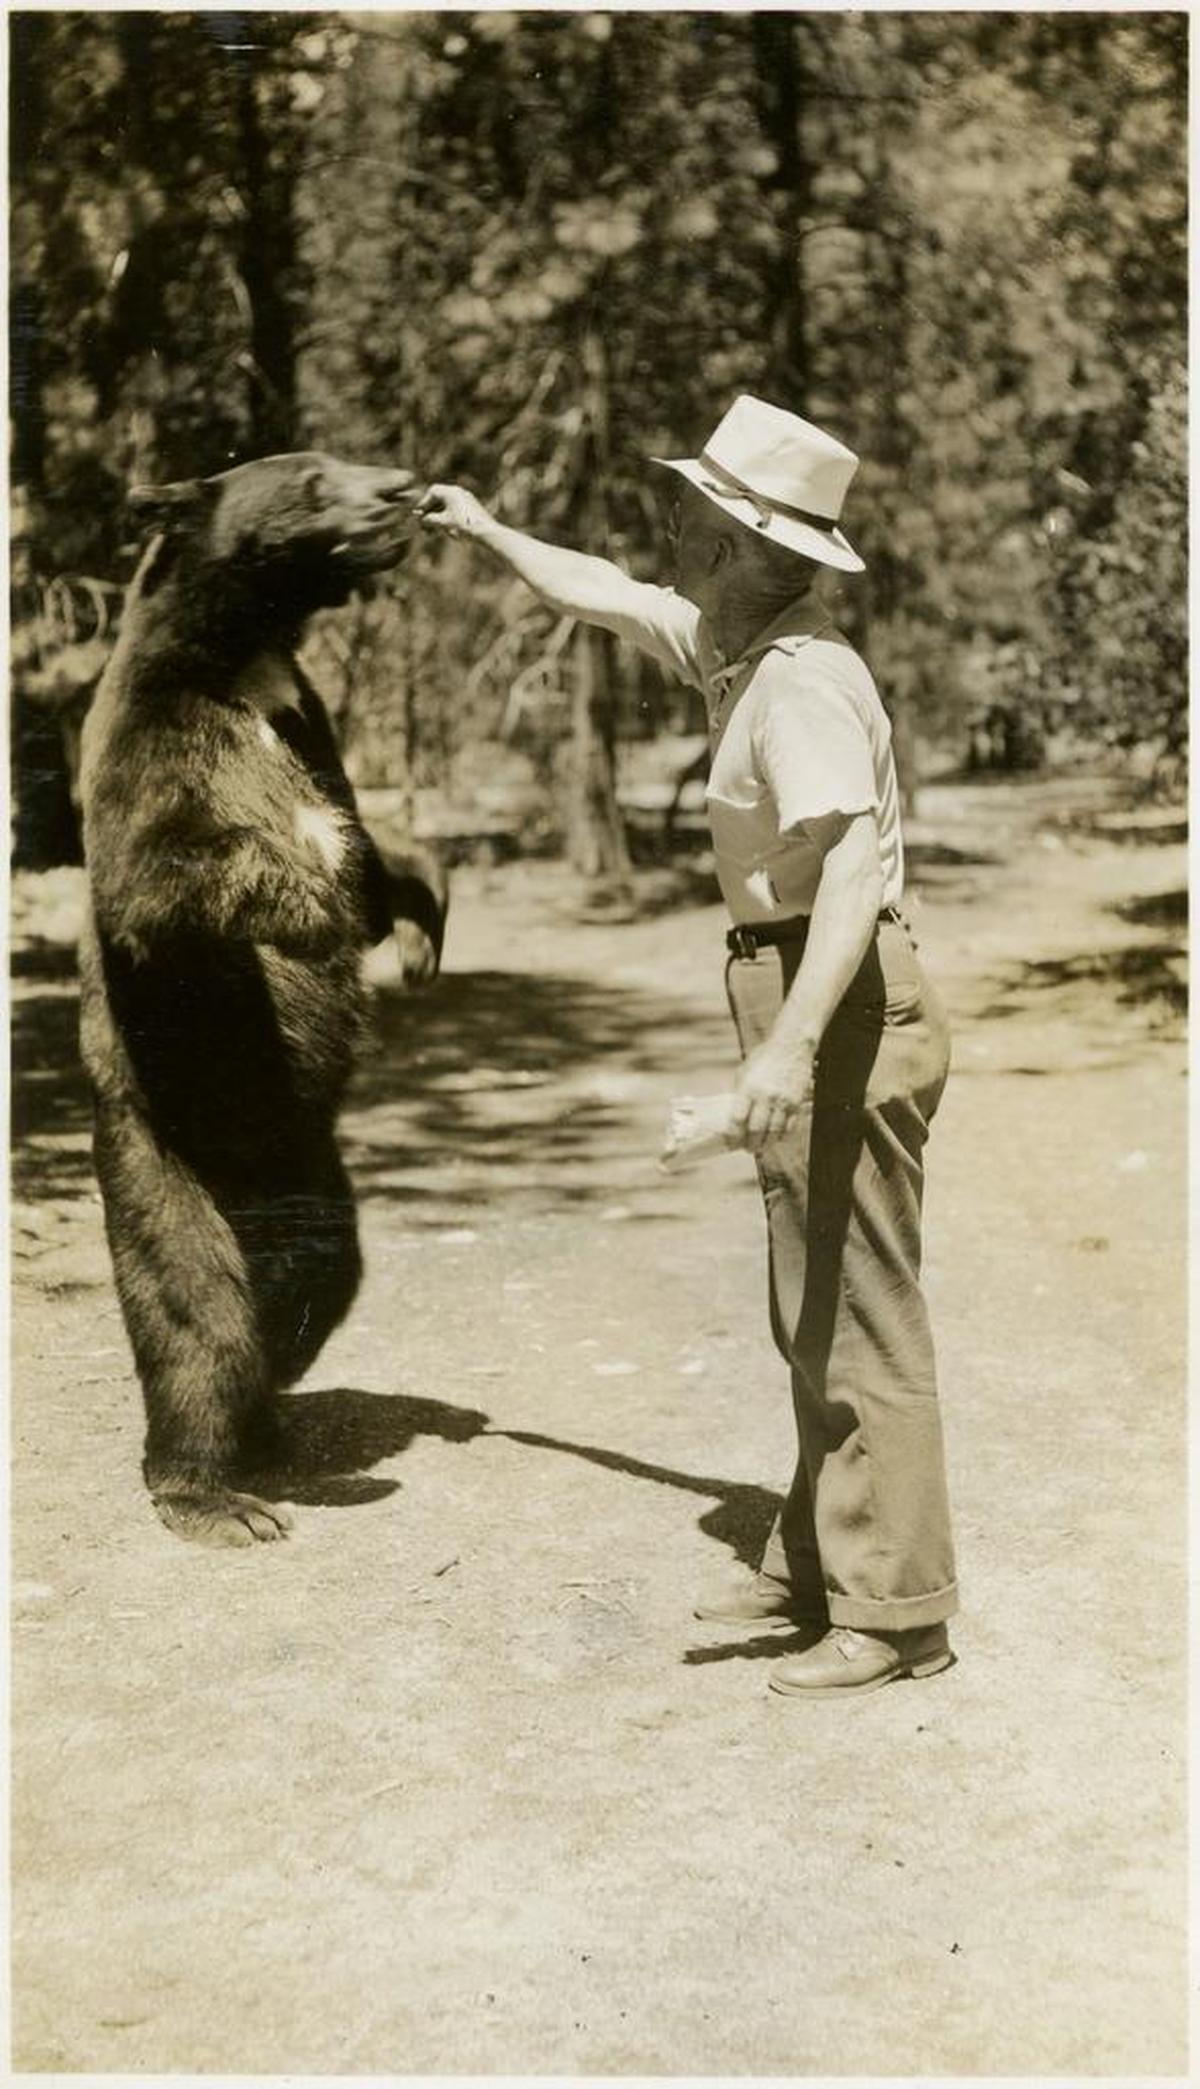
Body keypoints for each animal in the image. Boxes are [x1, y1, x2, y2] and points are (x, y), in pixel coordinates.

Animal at [78, 450, 440, 1546]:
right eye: (316, 478)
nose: (405, 485)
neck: (245, 646)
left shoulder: (309, 721)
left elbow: (378, 855)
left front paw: (419, 928)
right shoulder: (161, 735)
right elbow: (161, 874)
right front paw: (311, 900)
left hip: (312, 1173)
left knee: (315, 1279)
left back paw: (269, 1417)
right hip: (154, 1154)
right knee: (198, 1306)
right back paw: (212, 1492)